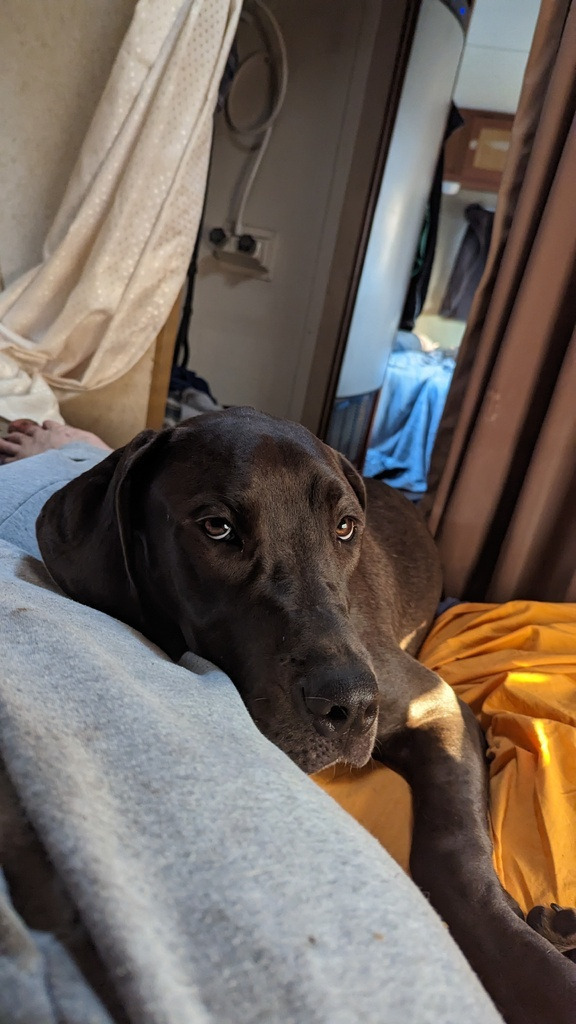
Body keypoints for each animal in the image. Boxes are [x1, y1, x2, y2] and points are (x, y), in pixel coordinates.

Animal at [35, 407, 573, 1024]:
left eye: (345, 527)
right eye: (217, 527)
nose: (353, 705)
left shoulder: (438, 705)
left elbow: (456, 851)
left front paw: (537, 963)